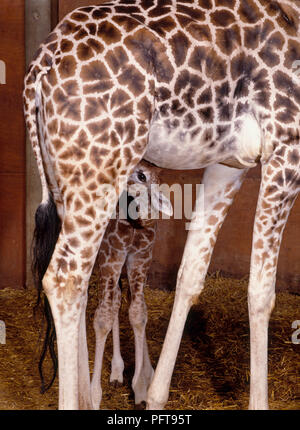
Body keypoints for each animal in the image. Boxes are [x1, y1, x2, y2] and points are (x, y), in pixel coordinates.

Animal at [90, 160, 172, 408]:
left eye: (142, 175)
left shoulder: (140, 259)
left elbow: (138, 312)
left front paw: (141, 386)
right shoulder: (110, 257)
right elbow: (103, 319)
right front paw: (93, 396)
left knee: (120, 299)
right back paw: (116, 372)